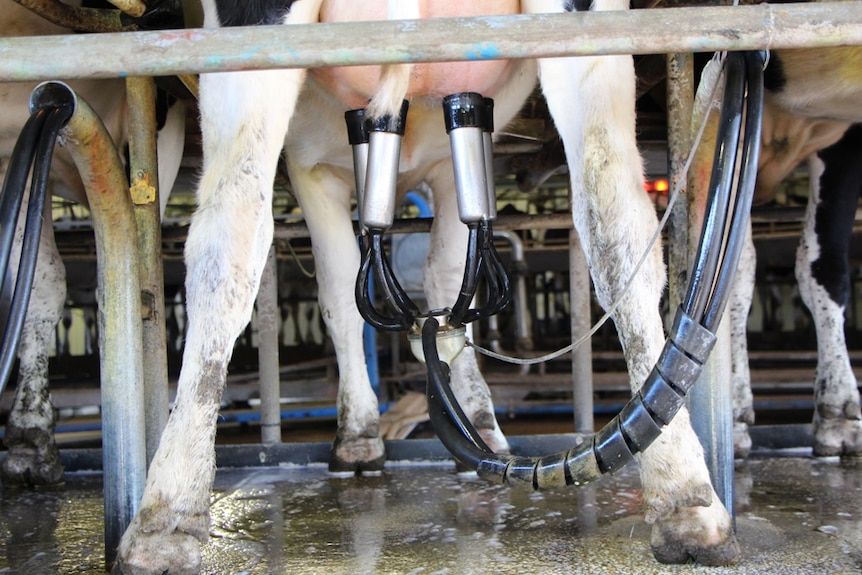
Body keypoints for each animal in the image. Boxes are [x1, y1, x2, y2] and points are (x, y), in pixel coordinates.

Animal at [108, 1, 744, 572]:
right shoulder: (318, 168)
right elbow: (351, 292)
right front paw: (380, 428)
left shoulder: (403, 167)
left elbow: (426, 280)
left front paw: (450, 418)